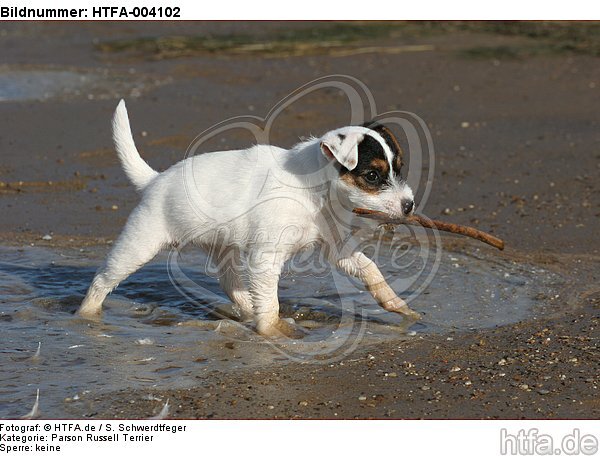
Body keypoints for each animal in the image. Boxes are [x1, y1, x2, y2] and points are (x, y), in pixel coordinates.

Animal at [77, 101, 418, 336]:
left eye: (399, 169)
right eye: (372, 176)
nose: (409, 205)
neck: (312, 191)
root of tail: (155, 180)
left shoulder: (336, 247)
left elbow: (371, 270)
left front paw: (398, 305)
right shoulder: (265, 257)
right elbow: (271, 303)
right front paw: (273, 333)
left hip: (222, 247)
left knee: (233, 287)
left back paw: (245, 311)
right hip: (140, 242)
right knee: (103, 279)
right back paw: (86, 315)